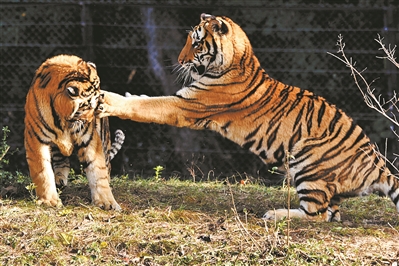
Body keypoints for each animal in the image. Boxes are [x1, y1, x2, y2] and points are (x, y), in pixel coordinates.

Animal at [24, 54, 123, 212]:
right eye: (88, 106)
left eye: (98, 102)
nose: (93, 118)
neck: (64, 119)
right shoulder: (36, 140)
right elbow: (43, 172)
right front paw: (49, 202)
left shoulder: (90, 140)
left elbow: (98, 170)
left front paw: (108, 202)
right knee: (61, 160)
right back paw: (59, 180)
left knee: (107, 165)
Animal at [97, 14, 399, 220]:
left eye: (196, 44)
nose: (180, 61)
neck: (237, 60)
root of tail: (377, 164)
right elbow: (144, 100)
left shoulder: (186, 105)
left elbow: (147, 106)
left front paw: (107, 99)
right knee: (331, 213)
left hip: (306, 157)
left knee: (317, 213)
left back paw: (275, 214)